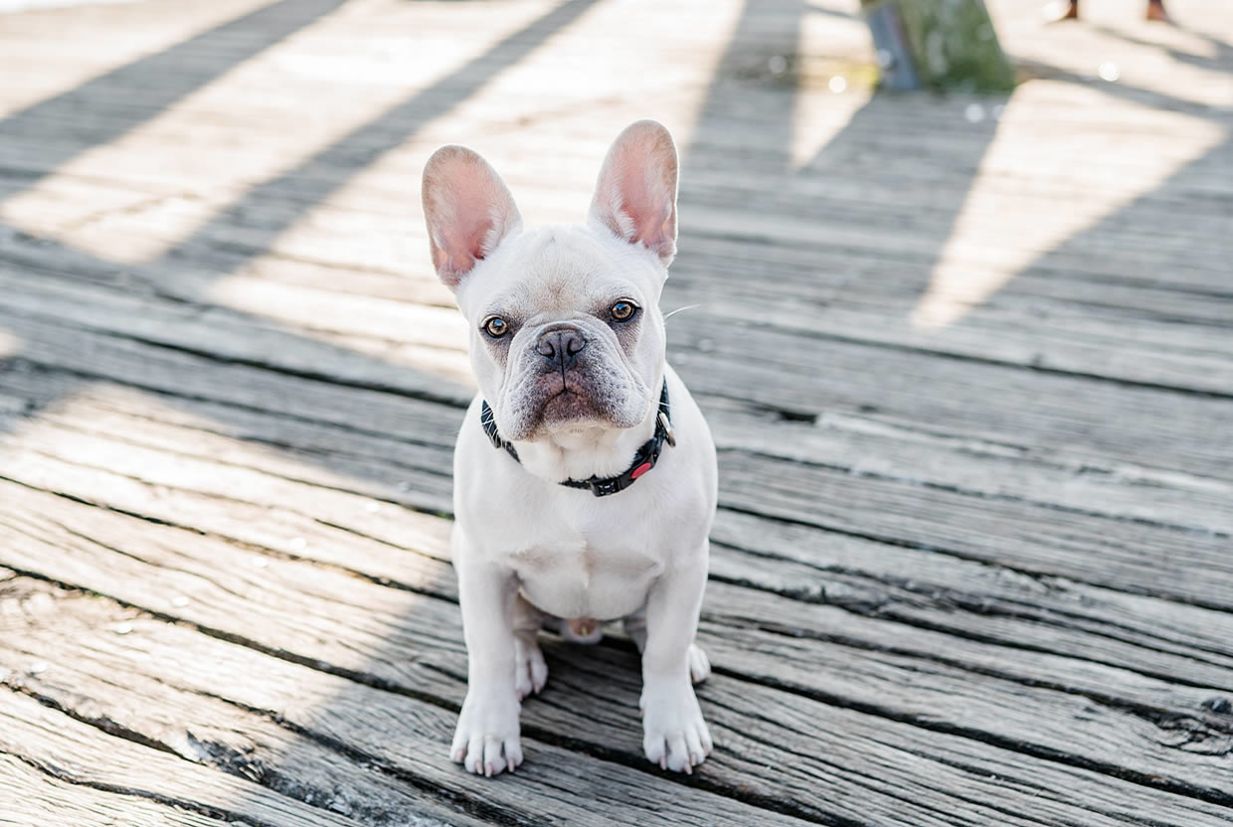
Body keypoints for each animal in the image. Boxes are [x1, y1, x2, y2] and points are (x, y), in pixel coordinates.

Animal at [421, 120, 717, 777]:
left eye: (623, 311)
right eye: (496, 327)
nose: (559, 342)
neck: (580, 465)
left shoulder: (685, 566)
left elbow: (664, 650)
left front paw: (672, 722)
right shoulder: (480, 565)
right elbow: (487, 650)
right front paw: (490, 726)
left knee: (655, 635)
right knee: (518, 633)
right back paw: (524, 664)